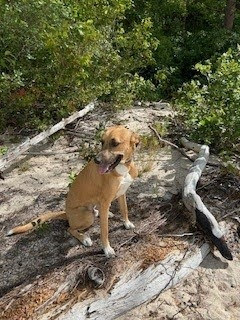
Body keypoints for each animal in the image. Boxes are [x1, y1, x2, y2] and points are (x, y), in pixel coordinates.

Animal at [7, 125, 139, 258]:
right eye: (102, 142)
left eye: (115, 143)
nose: (96, 160)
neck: (123, 168)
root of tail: (67, 214)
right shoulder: (106, 201)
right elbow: (104, 230)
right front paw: (107, 249)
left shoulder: (121, 193)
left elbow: (124, 210)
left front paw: (127, 223)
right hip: (87, 216)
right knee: (70, 228)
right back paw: (84, 238)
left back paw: (102, 213)